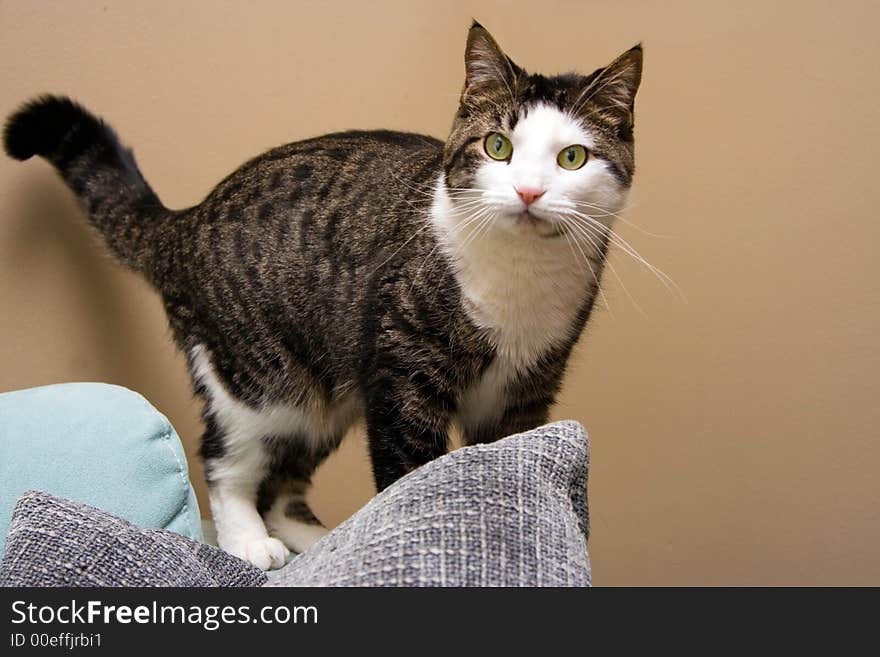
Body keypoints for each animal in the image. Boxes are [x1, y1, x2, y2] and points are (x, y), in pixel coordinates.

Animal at [3, 21, 644, 568]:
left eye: (572, 157)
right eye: (497, 147)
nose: (530, 192)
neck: (520, 276)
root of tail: (184, 222)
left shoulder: (529, 388)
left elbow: (514, 451)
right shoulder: (399, 372)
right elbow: (407, 468)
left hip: (325, 401)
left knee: (282, 487)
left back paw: (323, 538)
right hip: (260, 382)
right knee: (225, 460)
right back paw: (249, 541)